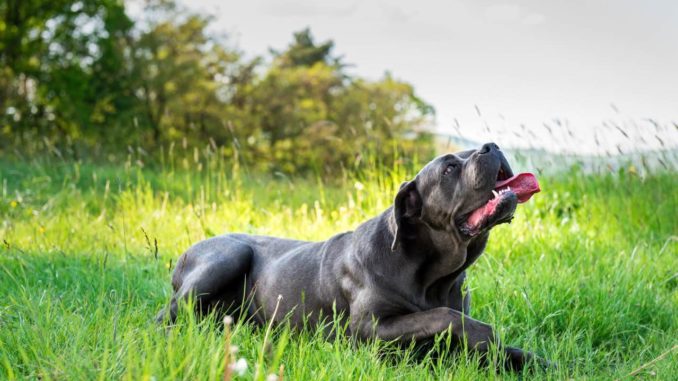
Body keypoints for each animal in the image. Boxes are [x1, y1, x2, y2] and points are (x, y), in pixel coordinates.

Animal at [158, 142, 548, 368]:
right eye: (450, 168)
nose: (490, 145)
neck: (431, 275)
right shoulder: (367, 329)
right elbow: (442, 316)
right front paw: (484, 333)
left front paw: (534, 361)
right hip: (229, 254)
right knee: (169, 313)